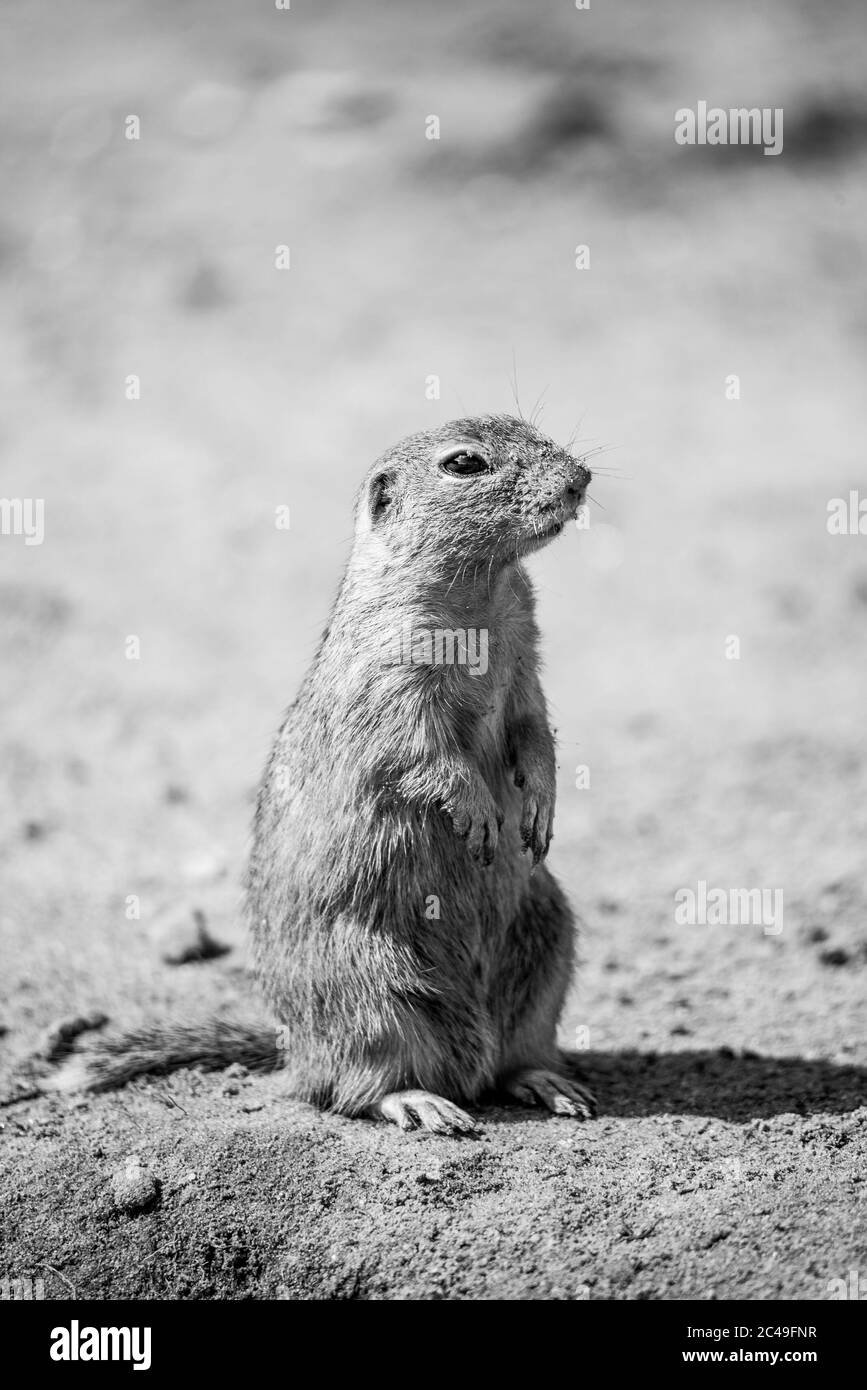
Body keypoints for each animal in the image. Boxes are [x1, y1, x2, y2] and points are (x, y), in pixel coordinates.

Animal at [56, 415, 595, 1135]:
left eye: (532, 428)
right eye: (463, 464)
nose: (579, 479)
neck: (481, 590)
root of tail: (293, 1051)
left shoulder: (526, 662)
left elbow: (535, 733)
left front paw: (538, 808)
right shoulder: (393, 680)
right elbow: (424, 754)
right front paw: (480, 815)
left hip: (547, 935)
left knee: (508, 1054)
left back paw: (546, 1082)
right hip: (364, 982)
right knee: (348, 1087)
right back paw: (423, 1101)